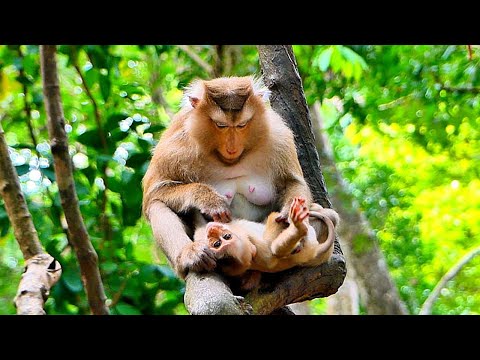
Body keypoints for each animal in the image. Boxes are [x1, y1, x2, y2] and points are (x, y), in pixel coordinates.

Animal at [191, 197, 338, 290]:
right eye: (217, 244)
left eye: (226, 237)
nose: (212, 231)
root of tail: (315, 251)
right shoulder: (257, 246)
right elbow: (275, 250)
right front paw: (298, 228)